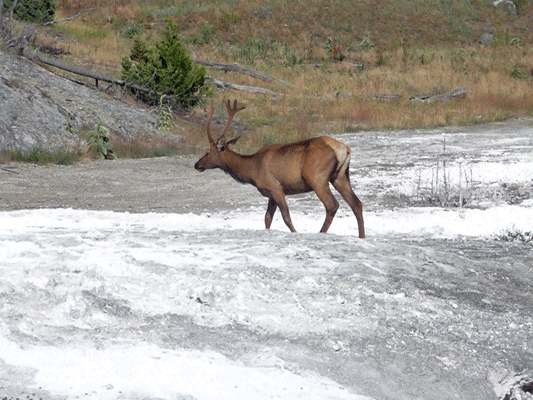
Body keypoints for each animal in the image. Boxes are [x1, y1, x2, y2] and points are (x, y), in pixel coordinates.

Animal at [193, 99, 364, 238]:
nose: (196, 164)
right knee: (356, 203)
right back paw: (361, 236)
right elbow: (267, 218)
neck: (252, 170)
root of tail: (344, 148)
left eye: (207, 152)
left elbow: (286, 217)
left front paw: (295, 233)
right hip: (340, 176)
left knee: (332, 205)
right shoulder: (271, 193)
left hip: (317, 177)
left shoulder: (276, 187)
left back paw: (321, 233)